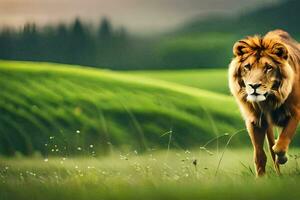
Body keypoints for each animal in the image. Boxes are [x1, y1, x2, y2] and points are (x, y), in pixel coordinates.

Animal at [229, 29, 298, 177]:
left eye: (268, 68)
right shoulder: (255, 121)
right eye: (247, 67)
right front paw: (260, 178)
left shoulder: (295, 113)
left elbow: (281, 144)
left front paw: (282, 157)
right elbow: (260, 155)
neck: (268, 101)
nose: (254, 86)